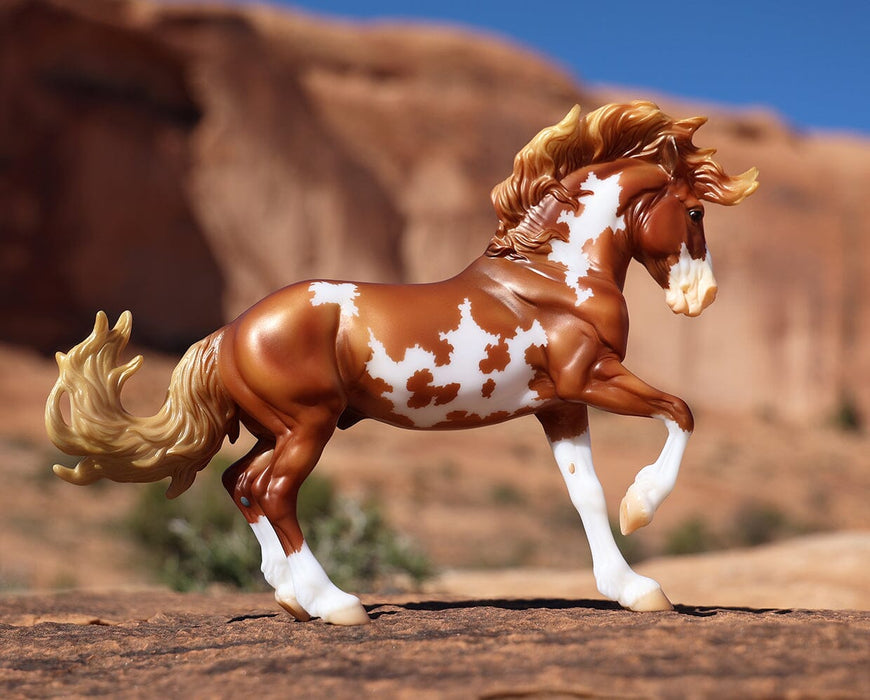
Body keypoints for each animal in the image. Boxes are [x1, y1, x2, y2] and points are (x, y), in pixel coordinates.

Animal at [47, 101, 756, 628]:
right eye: (694, 211)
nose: (700, 298)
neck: (553, 277)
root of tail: (230, 331)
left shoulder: (560, 404)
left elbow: (586, 492)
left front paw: (634, 589)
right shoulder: (592, 379)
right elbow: (681, 412)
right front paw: (643, 507)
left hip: (277, 427)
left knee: (241, 482)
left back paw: (289, 595)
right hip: (308, 425)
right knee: (274, 491)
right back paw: (335, 604)